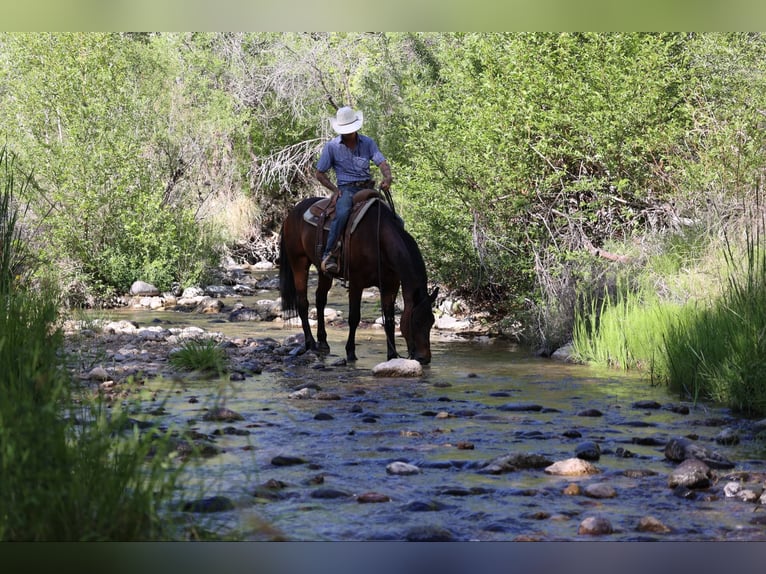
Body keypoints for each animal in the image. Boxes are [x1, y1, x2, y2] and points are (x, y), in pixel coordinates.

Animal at [278, 192, 438, 364]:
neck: (378, 239)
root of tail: (291, 213)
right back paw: (311, 343)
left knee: (320, 300)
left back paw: (323, 342)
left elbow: (389, 320)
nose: (424, 358)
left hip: (323, 270)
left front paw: (392, 355)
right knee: (303, 302)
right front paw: (350, 352)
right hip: (299, 262)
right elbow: (354, 318)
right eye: (416, 321)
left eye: (431, 321)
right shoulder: (356, 283)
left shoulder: (390, 285)